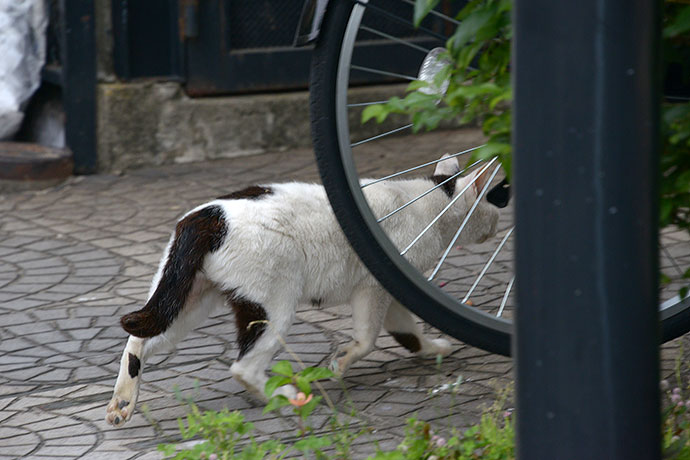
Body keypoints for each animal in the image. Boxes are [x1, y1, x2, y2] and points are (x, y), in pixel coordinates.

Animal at [105, 155, 498, 428]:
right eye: (496, 200)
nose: (497, 226)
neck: (432, 204)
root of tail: (207, 216)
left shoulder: (390, 292)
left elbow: (408, 333)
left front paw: (434, 349)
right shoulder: (374, 287)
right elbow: (368, 338)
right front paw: (341, 361)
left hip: (187, 301)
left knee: (138, 341)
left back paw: (122, 405)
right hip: (274, 307)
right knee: (243, 368)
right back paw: (284, 394)